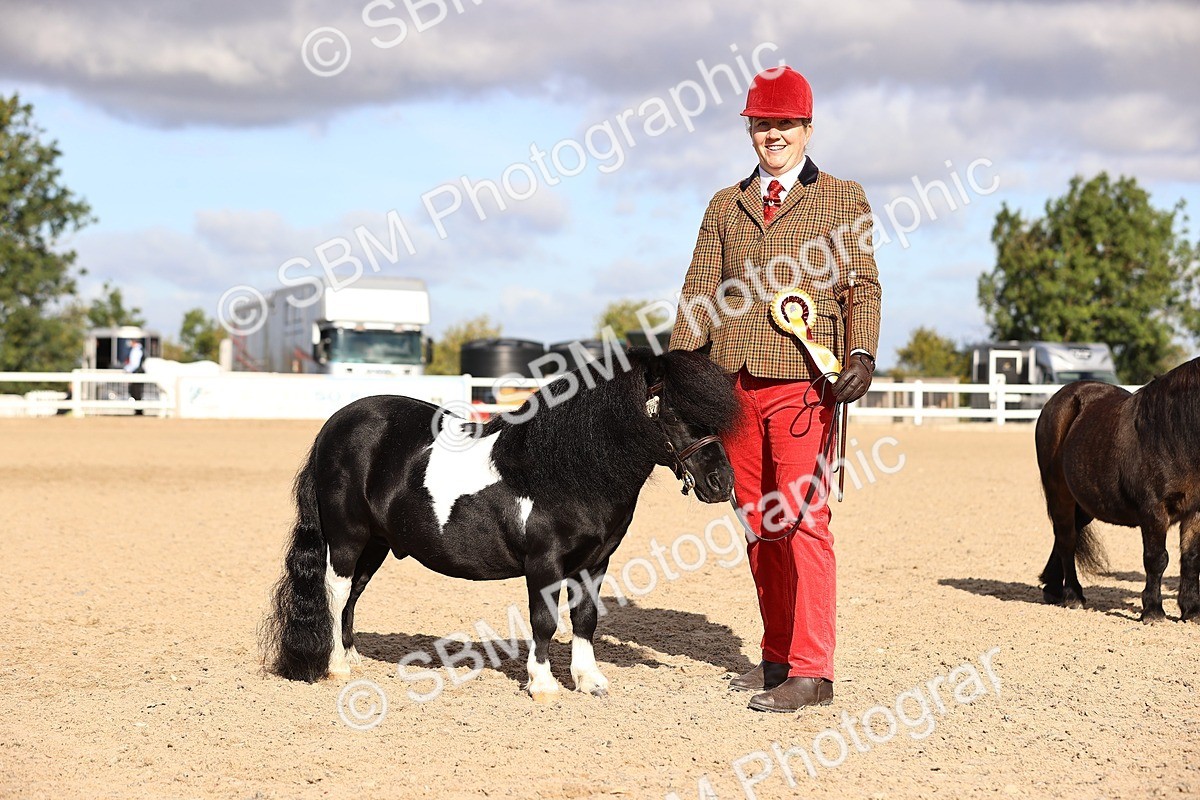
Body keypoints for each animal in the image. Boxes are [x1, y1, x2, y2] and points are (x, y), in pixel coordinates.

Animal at [260, 347, 737, 701]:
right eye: (673, 412)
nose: (722, 482)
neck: (566, 470)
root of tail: (336, 426)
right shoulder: (544, 563)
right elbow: (544, 620)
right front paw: (542, 684)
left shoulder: (596, 562)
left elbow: (584, 618)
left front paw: (590, 681)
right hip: (347, 537)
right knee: (336, 589)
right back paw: (336, 667)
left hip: (376, 544)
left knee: (352, 595)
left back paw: (352, 656)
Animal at [1035, 356, 1200, 622]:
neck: (1174, 436)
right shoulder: (1153, 512)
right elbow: (1157, 558)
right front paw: (1153, 611)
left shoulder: (1195, 511)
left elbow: (1191, 558)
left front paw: (1192, 610)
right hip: (1060, 494)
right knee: (1067, 540)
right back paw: (1073, 596)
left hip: (1085, 503)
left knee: (1066, 536)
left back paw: (1053, 589)